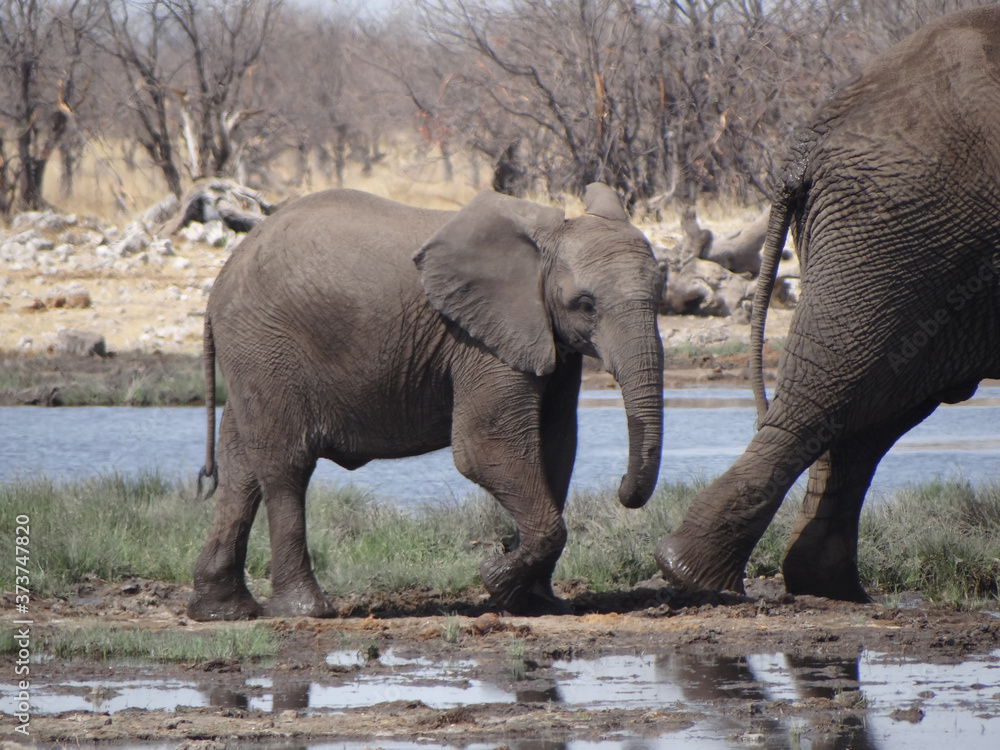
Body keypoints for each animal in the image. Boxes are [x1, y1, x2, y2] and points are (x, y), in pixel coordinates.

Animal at [187, 183, 664, 621]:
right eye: (584, 305)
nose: (622, 489)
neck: (544, 241)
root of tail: (219, 281)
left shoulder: (546, 339)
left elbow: (556, 448)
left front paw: (538, 602)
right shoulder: (480, 339)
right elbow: (484, 449)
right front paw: (497, 583)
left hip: (252, 353)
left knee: (241, 467)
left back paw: (223, 611)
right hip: (266, 347)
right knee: (286, 466)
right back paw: (307, 611)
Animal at [655, 6, 1000, 602]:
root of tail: (805, 148)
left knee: (865, 408)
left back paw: (826, 587)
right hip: (904, 224)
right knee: (832, 390)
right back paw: (695, 578)